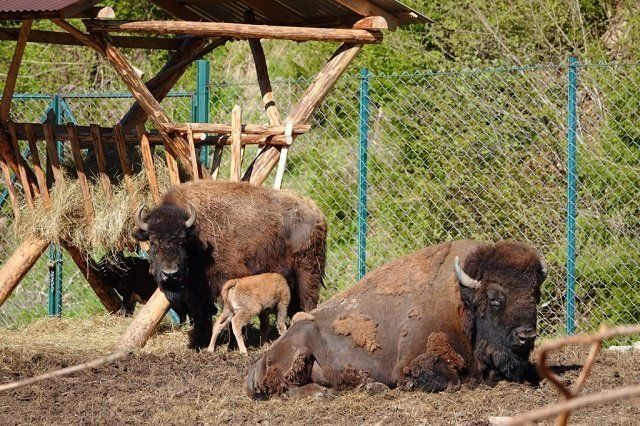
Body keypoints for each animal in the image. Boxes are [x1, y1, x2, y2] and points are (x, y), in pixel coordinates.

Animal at [133, 181, 328, 350]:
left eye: (182, 241)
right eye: (153, 242)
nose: (170, 274)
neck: (197, 237)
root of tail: (316, 212)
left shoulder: (225, 281)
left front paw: (231, 346)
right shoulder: (194, 291)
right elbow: (201, 315)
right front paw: (199, 343)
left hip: (308, 271)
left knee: (309, 301)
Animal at [245, 240, 544, 396]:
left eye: (535, 293)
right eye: (494, 297)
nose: (526, 335)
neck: (462, 301)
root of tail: (258, 363)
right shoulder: (411, 364)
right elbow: (450, 381)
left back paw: (369, 386)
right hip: (299, 344)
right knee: (285, 387)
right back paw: (325, 392)